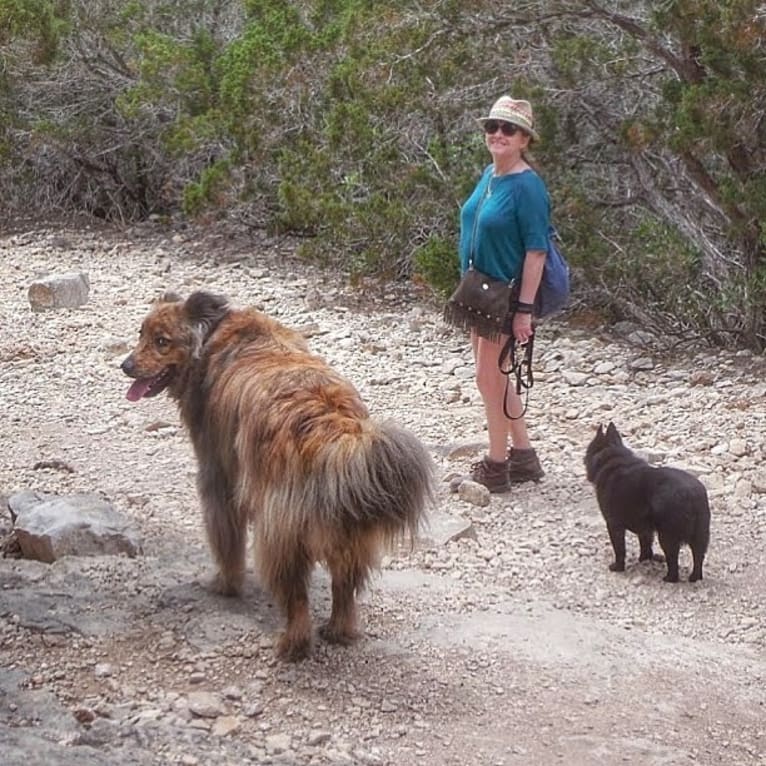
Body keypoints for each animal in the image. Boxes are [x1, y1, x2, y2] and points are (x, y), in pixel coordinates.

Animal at [119, 292, 432, 664]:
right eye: (141, 334)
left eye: (162, 341)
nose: (125, 365)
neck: (211, 336)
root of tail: (329, 431)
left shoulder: (219, 480)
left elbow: (227, 544)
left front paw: (225, 584)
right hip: (349, 526)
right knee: (344, 587)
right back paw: (338, 631)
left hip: (281, 533)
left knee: (296, 596)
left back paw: (292, 645)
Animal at [588, 424, 712, 584]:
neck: (613, 457)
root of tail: (692, 495)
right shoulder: (645, 529)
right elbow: (645, 543)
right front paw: (645, 558)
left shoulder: (613, 525)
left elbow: (620, 549)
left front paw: (618, 567)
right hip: (700, 536)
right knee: (698, 557)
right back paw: (695, 577)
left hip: (667, 537)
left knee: (674, 562)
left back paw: (669, 578)